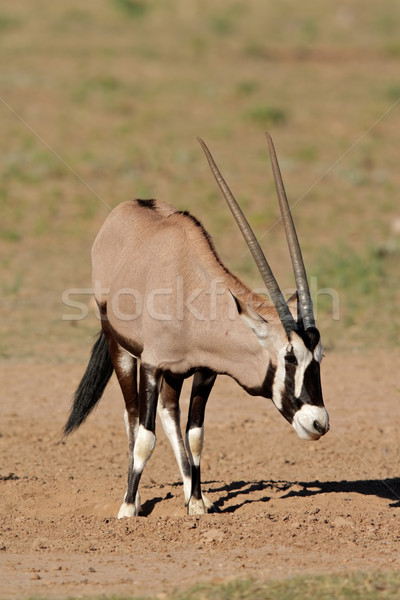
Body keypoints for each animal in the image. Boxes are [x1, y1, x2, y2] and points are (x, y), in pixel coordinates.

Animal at [64, 135, 330, 516]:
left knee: (169, 412)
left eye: (319, 358)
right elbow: (145, 437)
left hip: (175, 374)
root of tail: (127, 207)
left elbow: (195, 434)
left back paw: (191, 491)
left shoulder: (205, 371)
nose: (318, 423)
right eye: (290, 357)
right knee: (133, 415)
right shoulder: (152, 365)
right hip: (122, 349)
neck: (190, 289)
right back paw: (136, 496)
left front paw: (197, 503)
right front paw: (128, 509)